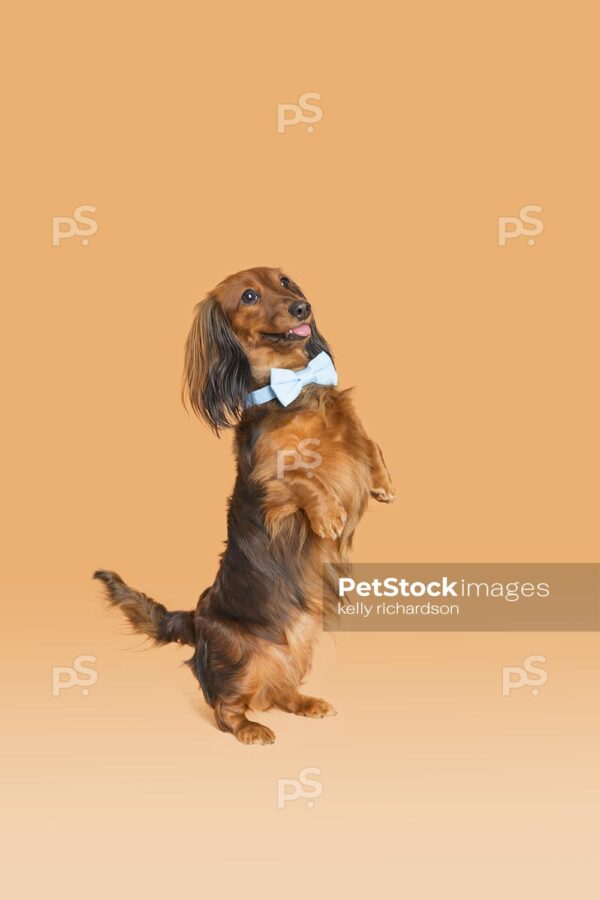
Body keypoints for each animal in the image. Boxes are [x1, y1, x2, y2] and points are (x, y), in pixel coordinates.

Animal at [95, 268, 394, 744]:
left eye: (286, 281)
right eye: (249, 296)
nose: (302, 307)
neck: (296, 385)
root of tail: (195, 619)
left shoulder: (351, 432)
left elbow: (370, 444)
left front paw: (383, 483)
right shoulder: (268, 481)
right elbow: (302, 477)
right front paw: (329, 514)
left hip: (297, 647)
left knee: (282, 690)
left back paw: (308, 704)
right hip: (240, 658)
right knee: (225, 708)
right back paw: (252, 730)